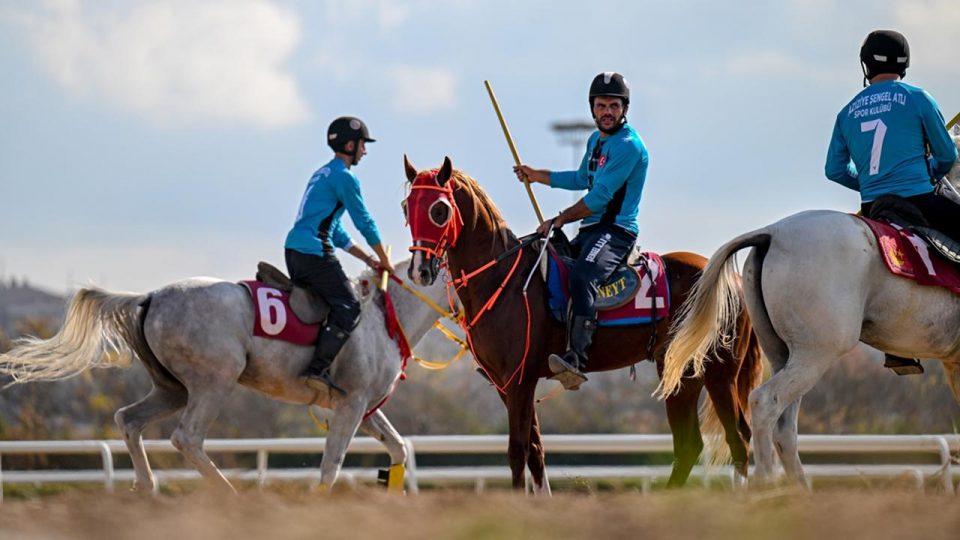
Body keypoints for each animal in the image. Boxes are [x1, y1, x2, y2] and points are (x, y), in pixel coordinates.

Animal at [0, 260, 450, 494]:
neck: (383, 316)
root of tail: (150, 297)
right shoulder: (350, 404)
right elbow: (332, 464)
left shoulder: (365, 408)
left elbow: (398, 449)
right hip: (214, 382)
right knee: (186, 438)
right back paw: (229, 495)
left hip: (174, 390)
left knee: (128, 420)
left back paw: (146, 488)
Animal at [402, 157, 760, 494]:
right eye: (407, 207)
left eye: (439, 210)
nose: (420, 270)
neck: (501, 278)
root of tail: (728, 276)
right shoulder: (505, 384)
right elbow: (535, 450)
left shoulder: (519, 381)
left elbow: (518, 451)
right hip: (681, 373)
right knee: (689, 445)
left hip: (718, 370)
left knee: (739, 438)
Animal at [660, 137, 960, 488]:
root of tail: (772, 233)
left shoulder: (954, 362)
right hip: (816, 353)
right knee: (765, 404)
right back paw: (765, 484)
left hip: (785, 355)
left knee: (785, 426)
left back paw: (799, 491)